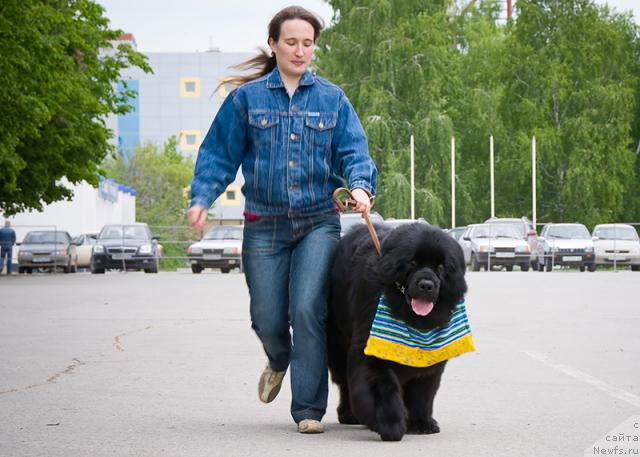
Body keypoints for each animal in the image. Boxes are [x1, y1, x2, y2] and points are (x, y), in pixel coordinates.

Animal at [328, 223, 468, 440]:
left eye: (441, 266)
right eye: (412, 262)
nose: (426, 285)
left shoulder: (430, 359)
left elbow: (423, 393)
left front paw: (421, 423)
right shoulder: (369, 350)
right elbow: (383, 387)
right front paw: (390, 423)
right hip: (338, 343)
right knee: (344, 381)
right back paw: (349, 414)